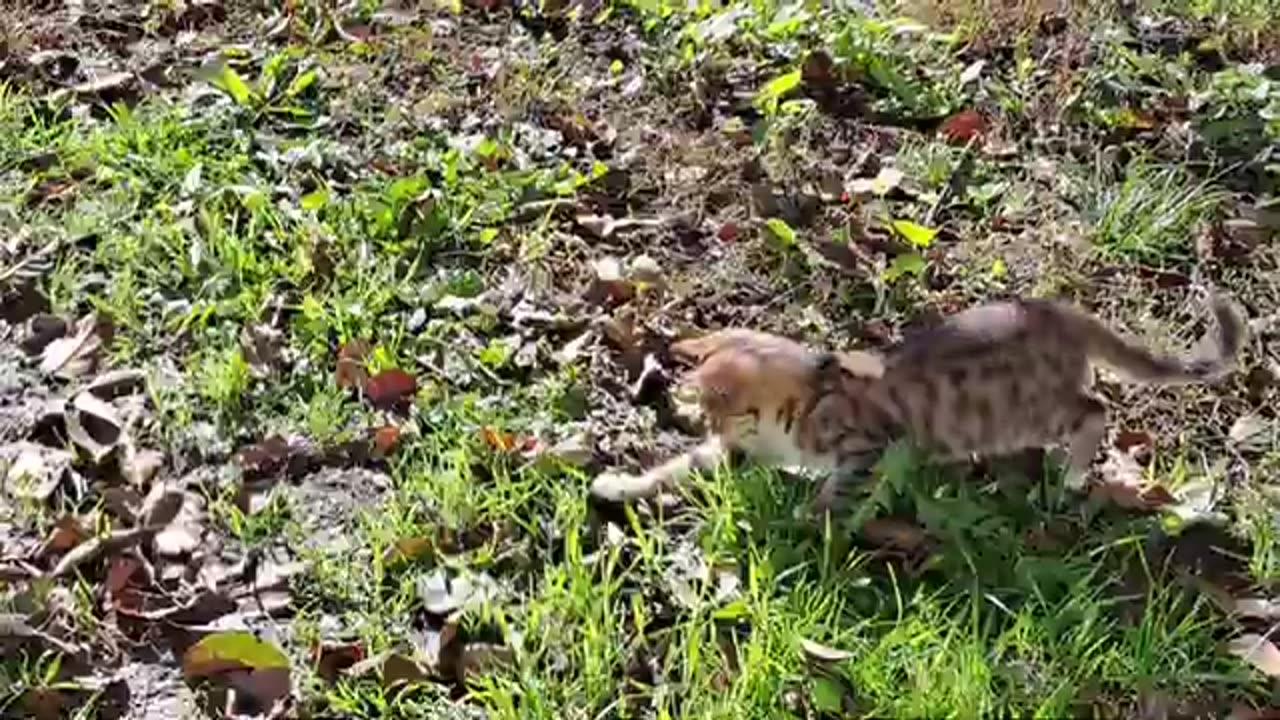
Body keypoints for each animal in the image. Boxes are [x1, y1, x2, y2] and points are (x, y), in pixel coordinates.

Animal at [593, 293, 1244, 509]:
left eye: (710, 408)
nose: (693, 419)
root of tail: (1057, 311)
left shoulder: (873, 444)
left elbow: (842, 486)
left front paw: (811, 514)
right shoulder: (739, 450)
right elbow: (676, 468)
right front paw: (620, 484)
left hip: (1032, 409)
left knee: (1094, 410)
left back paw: (1071, 476)